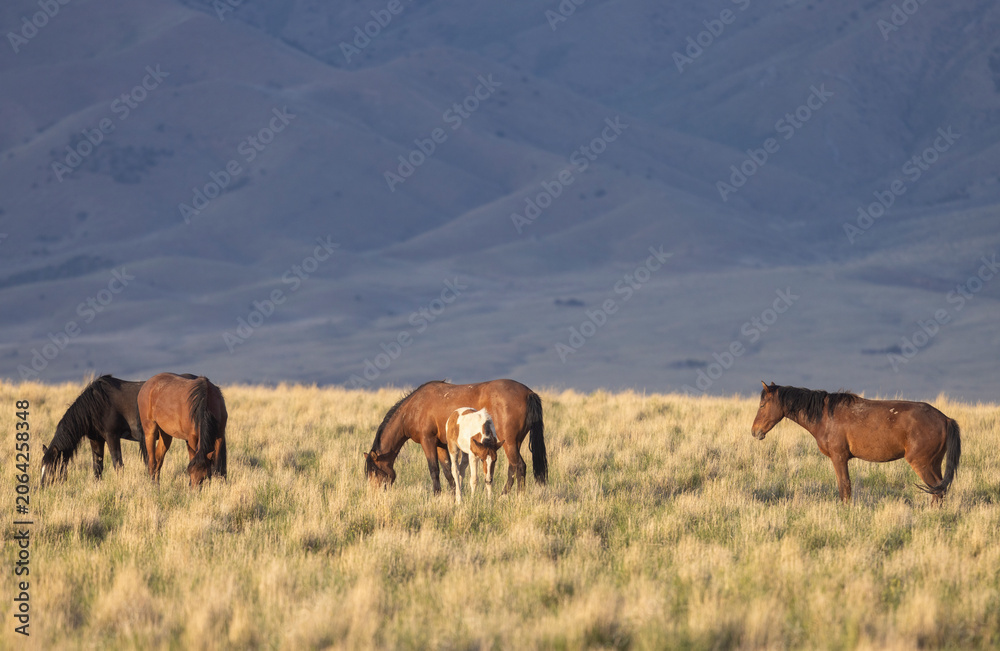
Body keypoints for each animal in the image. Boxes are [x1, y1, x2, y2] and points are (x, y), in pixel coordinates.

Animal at [364, 379, 546, 495]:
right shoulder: (441, 444)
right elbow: (448, 471)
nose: (374, 496)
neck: (414, 408)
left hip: (509, 443)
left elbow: (434, 470)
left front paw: (436, 495)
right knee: (512, 469)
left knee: (520, 466)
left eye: (374, 471)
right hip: (513, 442)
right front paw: (453, 496)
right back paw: (503, 496)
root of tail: (528, 393)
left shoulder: (427, 441)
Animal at [751, 381, 961, 503]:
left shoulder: (839, 458)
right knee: (940, 489)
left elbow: (845, 487)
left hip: (922, 464)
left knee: (937, 490)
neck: (826, 416)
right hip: (934, 463)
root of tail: (945, 419)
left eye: (762, 405)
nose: (755, 432)